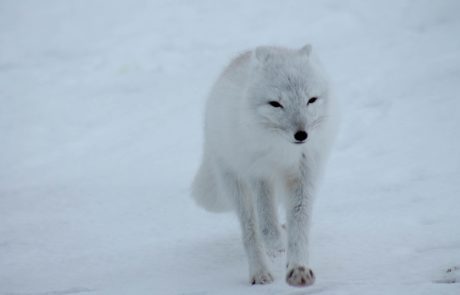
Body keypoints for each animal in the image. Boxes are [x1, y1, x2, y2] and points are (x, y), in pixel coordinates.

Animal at [190, 45, 338, 288]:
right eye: (275, 104)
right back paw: (260, 272)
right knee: (251, 230)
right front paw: (276, 245)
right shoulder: (259, 174)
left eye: (311, 100)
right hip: (236, 184)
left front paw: (298, 269)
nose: (302, 135)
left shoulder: (303, 174)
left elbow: (300, 224)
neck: (282, 151)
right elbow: (266, 223)